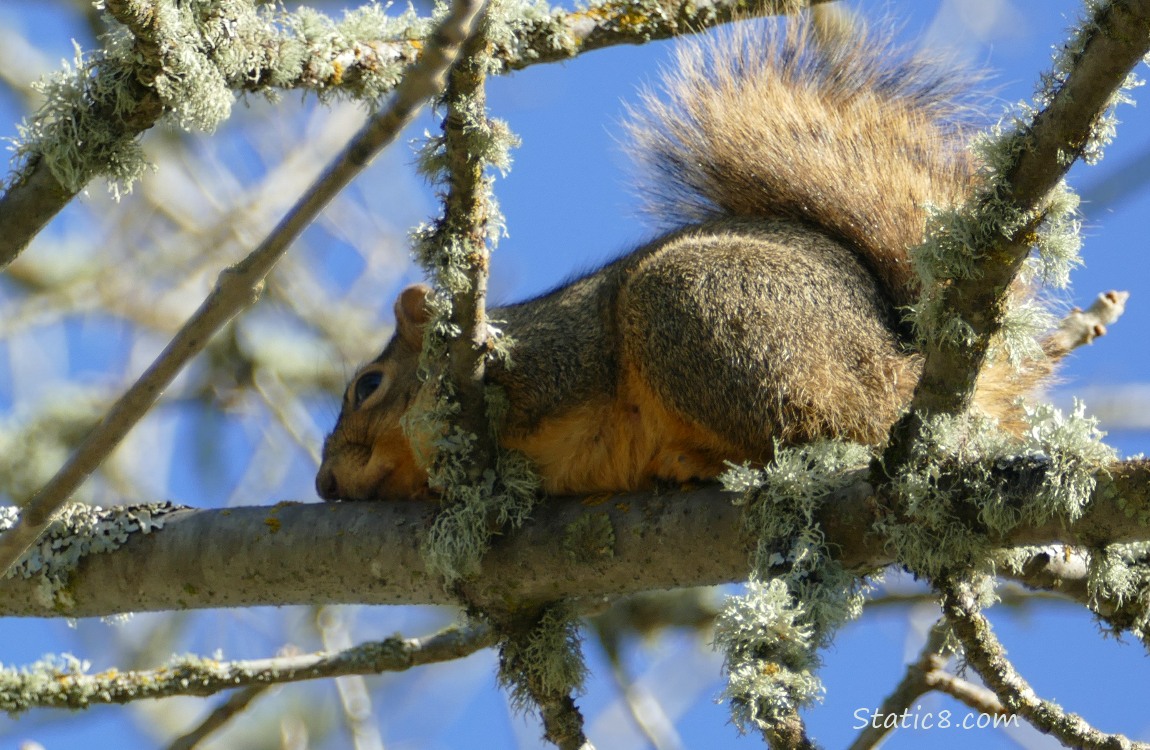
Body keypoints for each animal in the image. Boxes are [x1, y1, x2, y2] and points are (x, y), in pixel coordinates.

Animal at [315, 18, 1053, 503]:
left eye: (369, 386)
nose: (323, 484)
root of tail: (897, 365)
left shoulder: (553, 351)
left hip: (702, 306)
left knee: (827, 425)